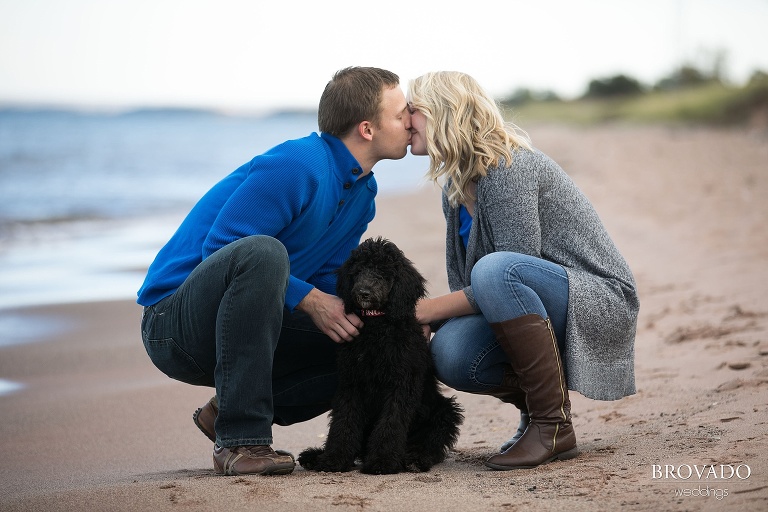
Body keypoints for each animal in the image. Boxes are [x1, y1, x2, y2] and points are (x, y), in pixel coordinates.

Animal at [296, 238, 462, 474]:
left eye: (383, 273)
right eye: (358, 271)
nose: (364, 292)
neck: (376, 326)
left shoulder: (401, 384)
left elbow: (391, 423)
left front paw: (383, 461)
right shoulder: (351, 382)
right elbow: (343, 421)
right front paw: (334, 458)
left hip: (444, 411)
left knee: (431, 443)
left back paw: (415, 459)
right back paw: (314, 455)